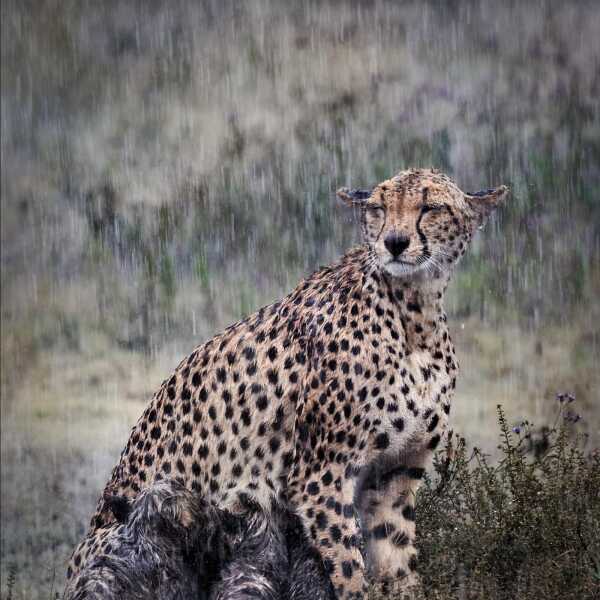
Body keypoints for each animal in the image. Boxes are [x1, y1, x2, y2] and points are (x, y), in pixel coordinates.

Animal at [67, 168, 508, 599]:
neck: (415, 310)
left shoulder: (394, 474)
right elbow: (349, 569)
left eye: (430, 207)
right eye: (379, 208)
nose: (395, 243)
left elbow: (396, 562)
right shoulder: (321, 477)